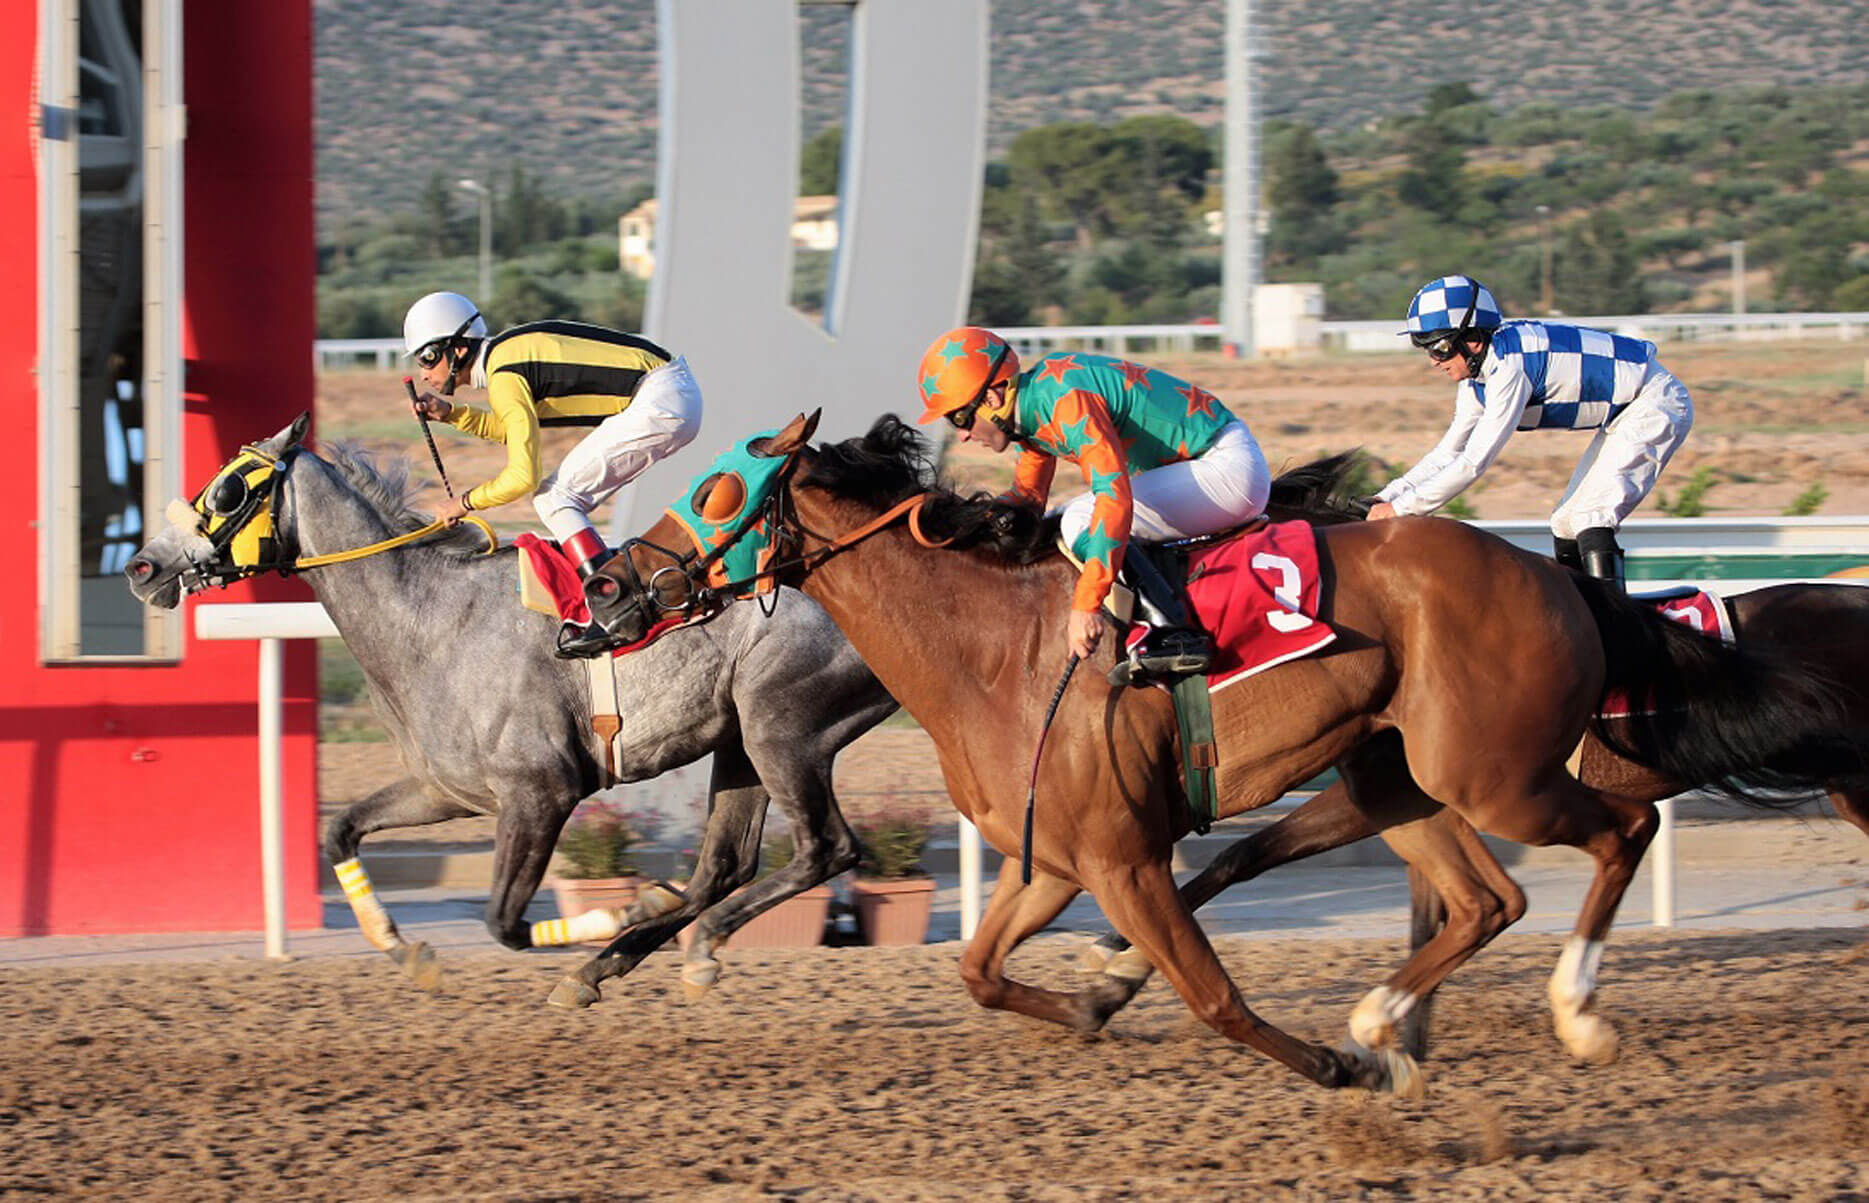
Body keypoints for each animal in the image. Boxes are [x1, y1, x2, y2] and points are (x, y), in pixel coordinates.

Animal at [124, 416, 897, 1008]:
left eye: (228, 487)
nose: (141, 566)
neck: (430, 616)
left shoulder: (540, 790)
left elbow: (503, 921)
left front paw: (633, 903)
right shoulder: (446, 788)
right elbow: (339, 829)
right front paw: (401, 949)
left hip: (780, 728)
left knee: (825, 848)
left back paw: (675, 941)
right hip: (740, 741)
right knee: (724, 866)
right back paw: (640, 957)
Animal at [586, 418, 1869, 1098]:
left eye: (713, 494)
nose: (605, 588)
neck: (992, 653)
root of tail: (1554, 577)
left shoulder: (1125, 861)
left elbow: (1214, 994)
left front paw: (1333, 1068)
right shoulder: (1058, 863)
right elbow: (983, 973)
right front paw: (1093, 1000)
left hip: (1493, 774)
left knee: (1621, 832)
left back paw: (1572, 1014)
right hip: (1403, 777)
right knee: (1488, 899)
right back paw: (1388, 1016)